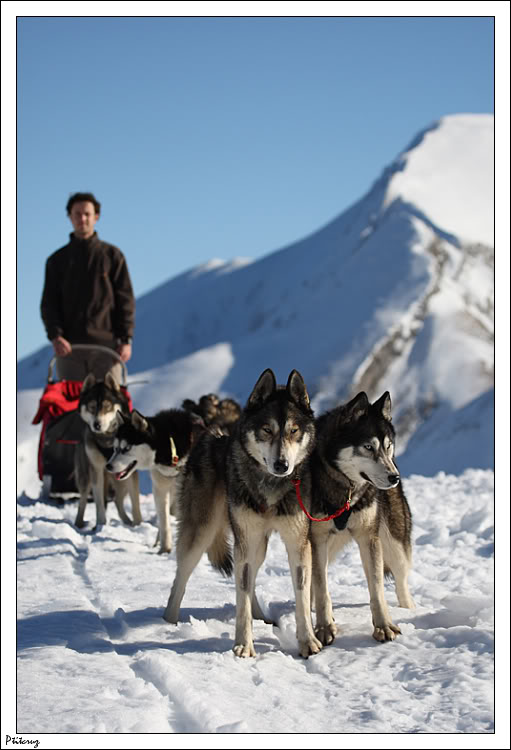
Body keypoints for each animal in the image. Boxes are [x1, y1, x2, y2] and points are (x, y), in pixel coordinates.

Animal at [74, 374, 142, 528]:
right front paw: (100, 525)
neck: (108, 439)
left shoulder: (130, 472)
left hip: (121, 480)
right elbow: (99, 503)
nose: (97, 425)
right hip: (85, 477)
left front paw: (138, 524)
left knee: (117, 501)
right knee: (83, 500)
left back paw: (128, 523)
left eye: (107, 407)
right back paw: (79, 524)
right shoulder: (96, 470)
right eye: (92, 407)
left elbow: (135, 503)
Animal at [106, 408, 208, 556]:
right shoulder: (160, 490)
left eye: (127, 448)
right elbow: (164, 522)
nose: (108, 466)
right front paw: (165, 549)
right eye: (115, 448)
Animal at [166, 368, 322, 656]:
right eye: (267, 430)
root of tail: (210, 435)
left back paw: (261, 616)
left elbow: (302, 596)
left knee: (252, 580)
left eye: (294, 431)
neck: (271, 486)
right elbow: (241, 600)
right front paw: (243, 646)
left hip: (257, 546)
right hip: (203, 533)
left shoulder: (298, 544)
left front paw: (308, 642)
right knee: (181, 577)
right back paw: (167, 622)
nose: (282, 465)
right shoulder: (244, 542)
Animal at [310, 394, 414, 648]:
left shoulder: (369, 538)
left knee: (402, 584)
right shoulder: (317, 540)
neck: (345, 490)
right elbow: (321, 587)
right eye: (368, 447)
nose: (394, 477)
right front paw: (324, 628)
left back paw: (410, 610)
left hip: (395, 547)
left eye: (388, 446)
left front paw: (384, 626)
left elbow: (376, 587)